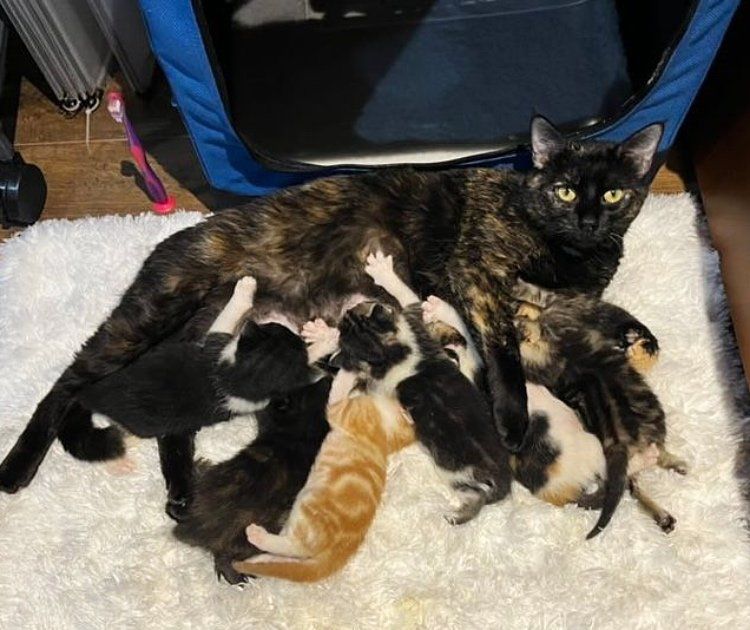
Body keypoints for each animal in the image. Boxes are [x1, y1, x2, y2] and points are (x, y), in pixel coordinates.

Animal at [2, 116, 668, 496]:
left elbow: (594, 314)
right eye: (565, 191)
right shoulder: (480, 277)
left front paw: (639, 336)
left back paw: (181, 491)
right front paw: (513, 418)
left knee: (177, 419)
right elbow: (503, 353)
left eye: (613, 194)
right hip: (150, 315)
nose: (589, 219)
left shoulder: (549, 305)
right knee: (67, 382)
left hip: (202, 345)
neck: (572, 255)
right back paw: (17, 468)